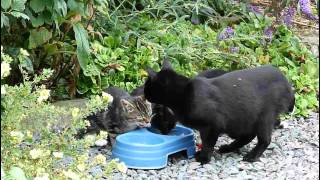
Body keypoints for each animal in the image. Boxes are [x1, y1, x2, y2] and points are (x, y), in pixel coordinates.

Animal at [144, 58, 294, 163]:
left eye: (147, 86)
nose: (144, 93)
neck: (185, 93)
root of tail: (286, 82)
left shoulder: (212, 125)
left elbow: (208, 143)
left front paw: (204, 158)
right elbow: (206, 142)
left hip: (263, 116)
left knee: (265, 139)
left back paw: (251, 156)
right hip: (243, 119)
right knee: (248, 135)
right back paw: (228, 148)